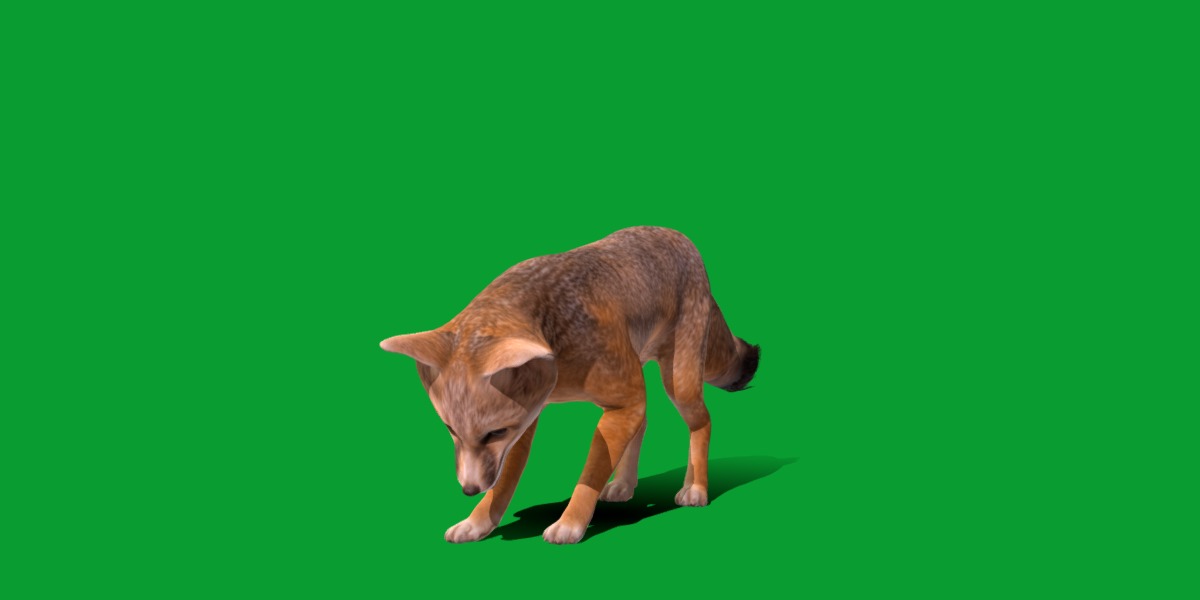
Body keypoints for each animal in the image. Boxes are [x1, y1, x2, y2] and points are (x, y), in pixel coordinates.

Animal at [380, 226, 760, 544]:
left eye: (493, 433)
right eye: (451, 430)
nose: (469, 489)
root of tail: (679, 236)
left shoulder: (617, 402)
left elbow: (588, 476)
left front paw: (571, 523)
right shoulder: (531, 420)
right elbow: (503, 484)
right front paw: (479, 521)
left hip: (678, 385)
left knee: (701, 422)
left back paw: (695, 487)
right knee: (644, 422)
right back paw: (625, 484)